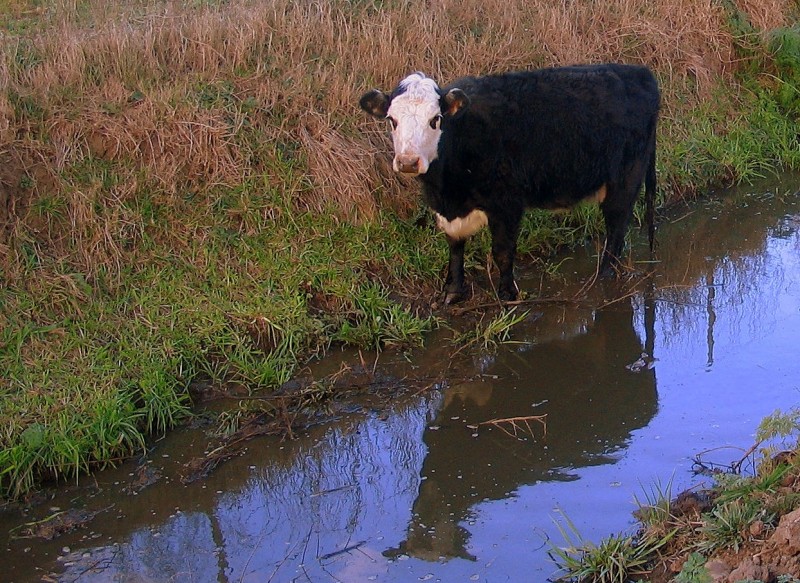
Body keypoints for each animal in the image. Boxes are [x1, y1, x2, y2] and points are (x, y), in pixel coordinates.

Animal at [360, 62, 660, 306]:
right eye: (392, 120)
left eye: (435, 119)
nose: (408, 162)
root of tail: (638, 72)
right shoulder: (447, 210)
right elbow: (455, 247)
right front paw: (453, 292)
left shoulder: (507, 204)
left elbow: (503, 252)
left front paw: (507, 295)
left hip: (625, 180)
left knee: (616, 228)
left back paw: (605, 275)